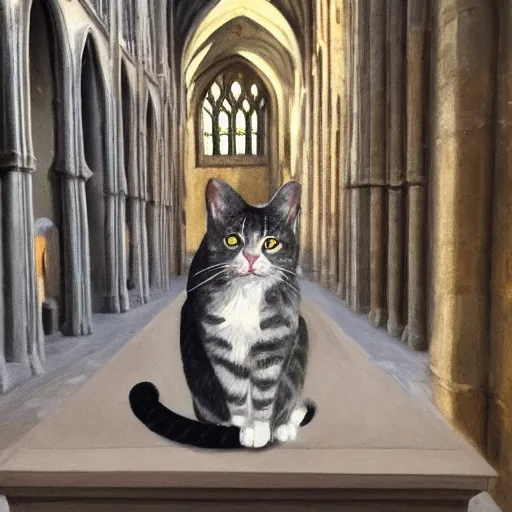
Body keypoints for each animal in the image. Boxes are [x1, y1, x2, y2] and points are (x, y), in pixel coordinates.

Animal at [128, 179, 314, 448]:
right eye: (232, 240)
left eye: (270, 243)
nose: (251, 257)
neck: (246, 295)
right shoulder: (220, 344)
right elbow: (234, 392)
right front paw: (239, 430)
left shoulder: (275, 340)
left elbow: (265, 390)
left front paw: (260, 430)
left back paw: (284, 427)